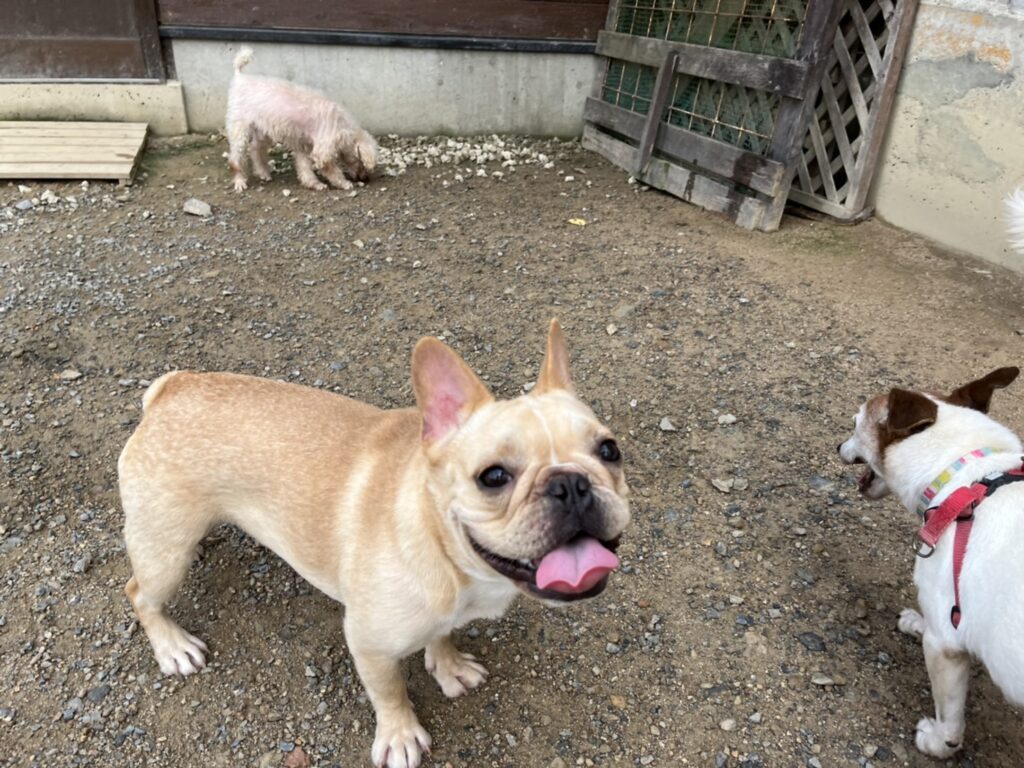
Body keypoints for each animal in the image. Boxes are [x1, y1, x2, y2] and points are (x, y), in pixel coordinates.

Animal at [119, 320, 630, 768]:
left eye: (610, 451)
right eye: (493, 477)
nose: (570, 485)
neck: (449, 557)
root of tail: (172, 389)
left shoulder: (443, 614)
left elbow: (442, 634)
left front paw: (447, 665)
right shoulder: (369, 645)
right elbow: (390, 692)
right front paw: (400, 736)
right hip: (165, 554)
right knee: (140, 594)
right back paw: (172, 646)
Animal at [225, 46, 378, 192]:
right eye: (362, 163)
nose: (366, 178)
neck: (341, 124)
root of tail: (240, 77)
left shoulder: (304, 144)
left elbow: (304, 167)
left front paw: (313, 184)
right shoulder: (321, 152)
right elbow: (333, 171)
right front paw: (344, 183)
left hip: (263, 131)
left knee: (255, 149)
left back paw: (263, 173)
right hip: (240, 131)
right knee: (235, 159)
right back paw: (240, 182)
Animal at [839, 366, 1024, 758]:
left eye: (855, 423)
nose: (837, 446)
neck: (965, 473)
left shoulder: (945, 647)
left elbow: (950, 717)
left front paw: (938, 742)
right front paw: (916, 621)